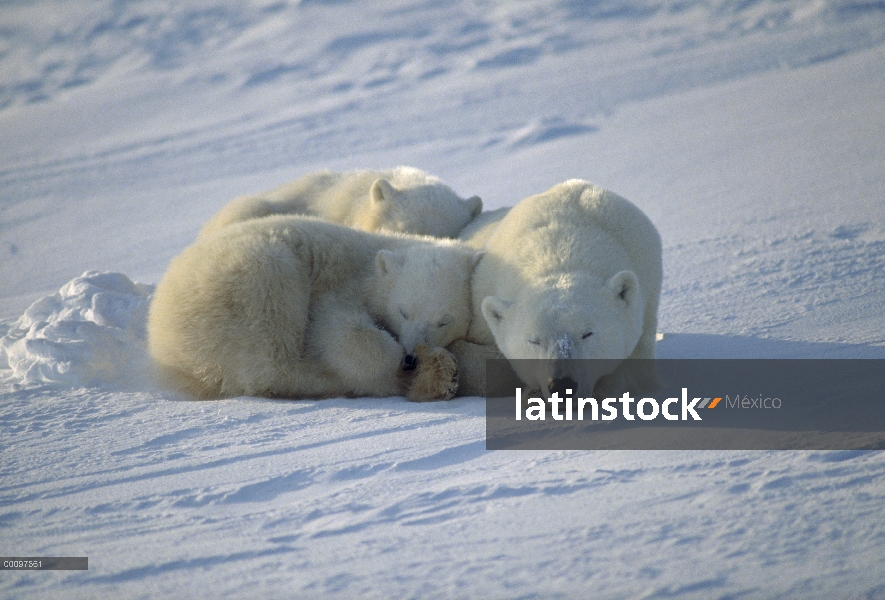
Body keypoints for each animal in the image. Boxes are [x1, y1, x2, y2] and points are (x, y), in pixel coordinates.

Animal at [153, 216, 484, 404]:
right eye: (404, 311)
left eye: (444, 321)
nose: (412, 357)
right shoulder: (341, 288)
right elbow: (339, 330)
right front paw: (397, 362)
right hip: (247, 279)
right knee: (271, 358)